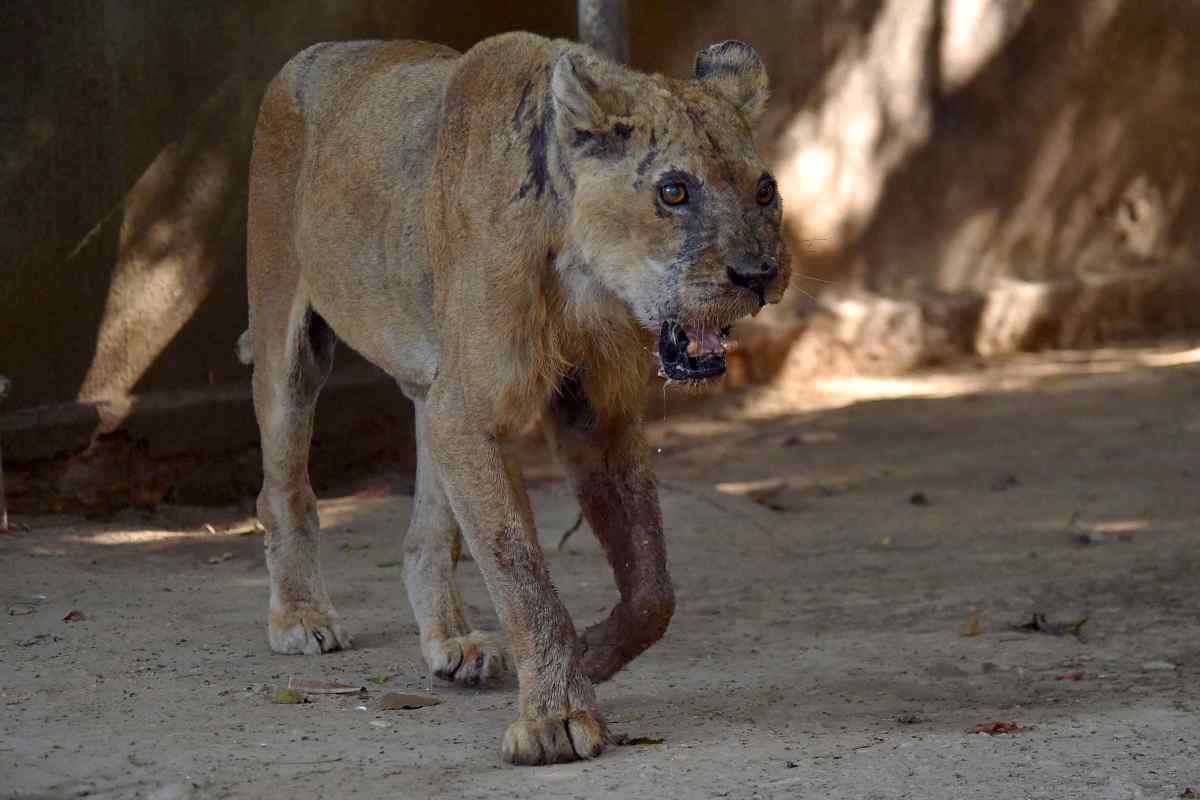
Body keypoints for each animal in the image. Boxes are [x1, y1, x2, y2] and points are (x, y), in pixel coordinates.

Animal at [240, 31, 792, 767]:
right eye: (674, 191)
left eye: (765, 189)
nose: (759, 274)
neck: (585, 273)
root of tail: (318, 51)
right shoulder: (473, 413)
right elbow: (520, 568)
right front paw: (555, 717)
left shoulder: (594, 414)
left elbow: (653, 587)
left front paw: (591, 655)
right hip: (290, 343)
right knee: (283, 490)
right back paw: (301, 616)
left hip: (432, 387)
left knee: (425, 535)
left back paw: (453, 643)